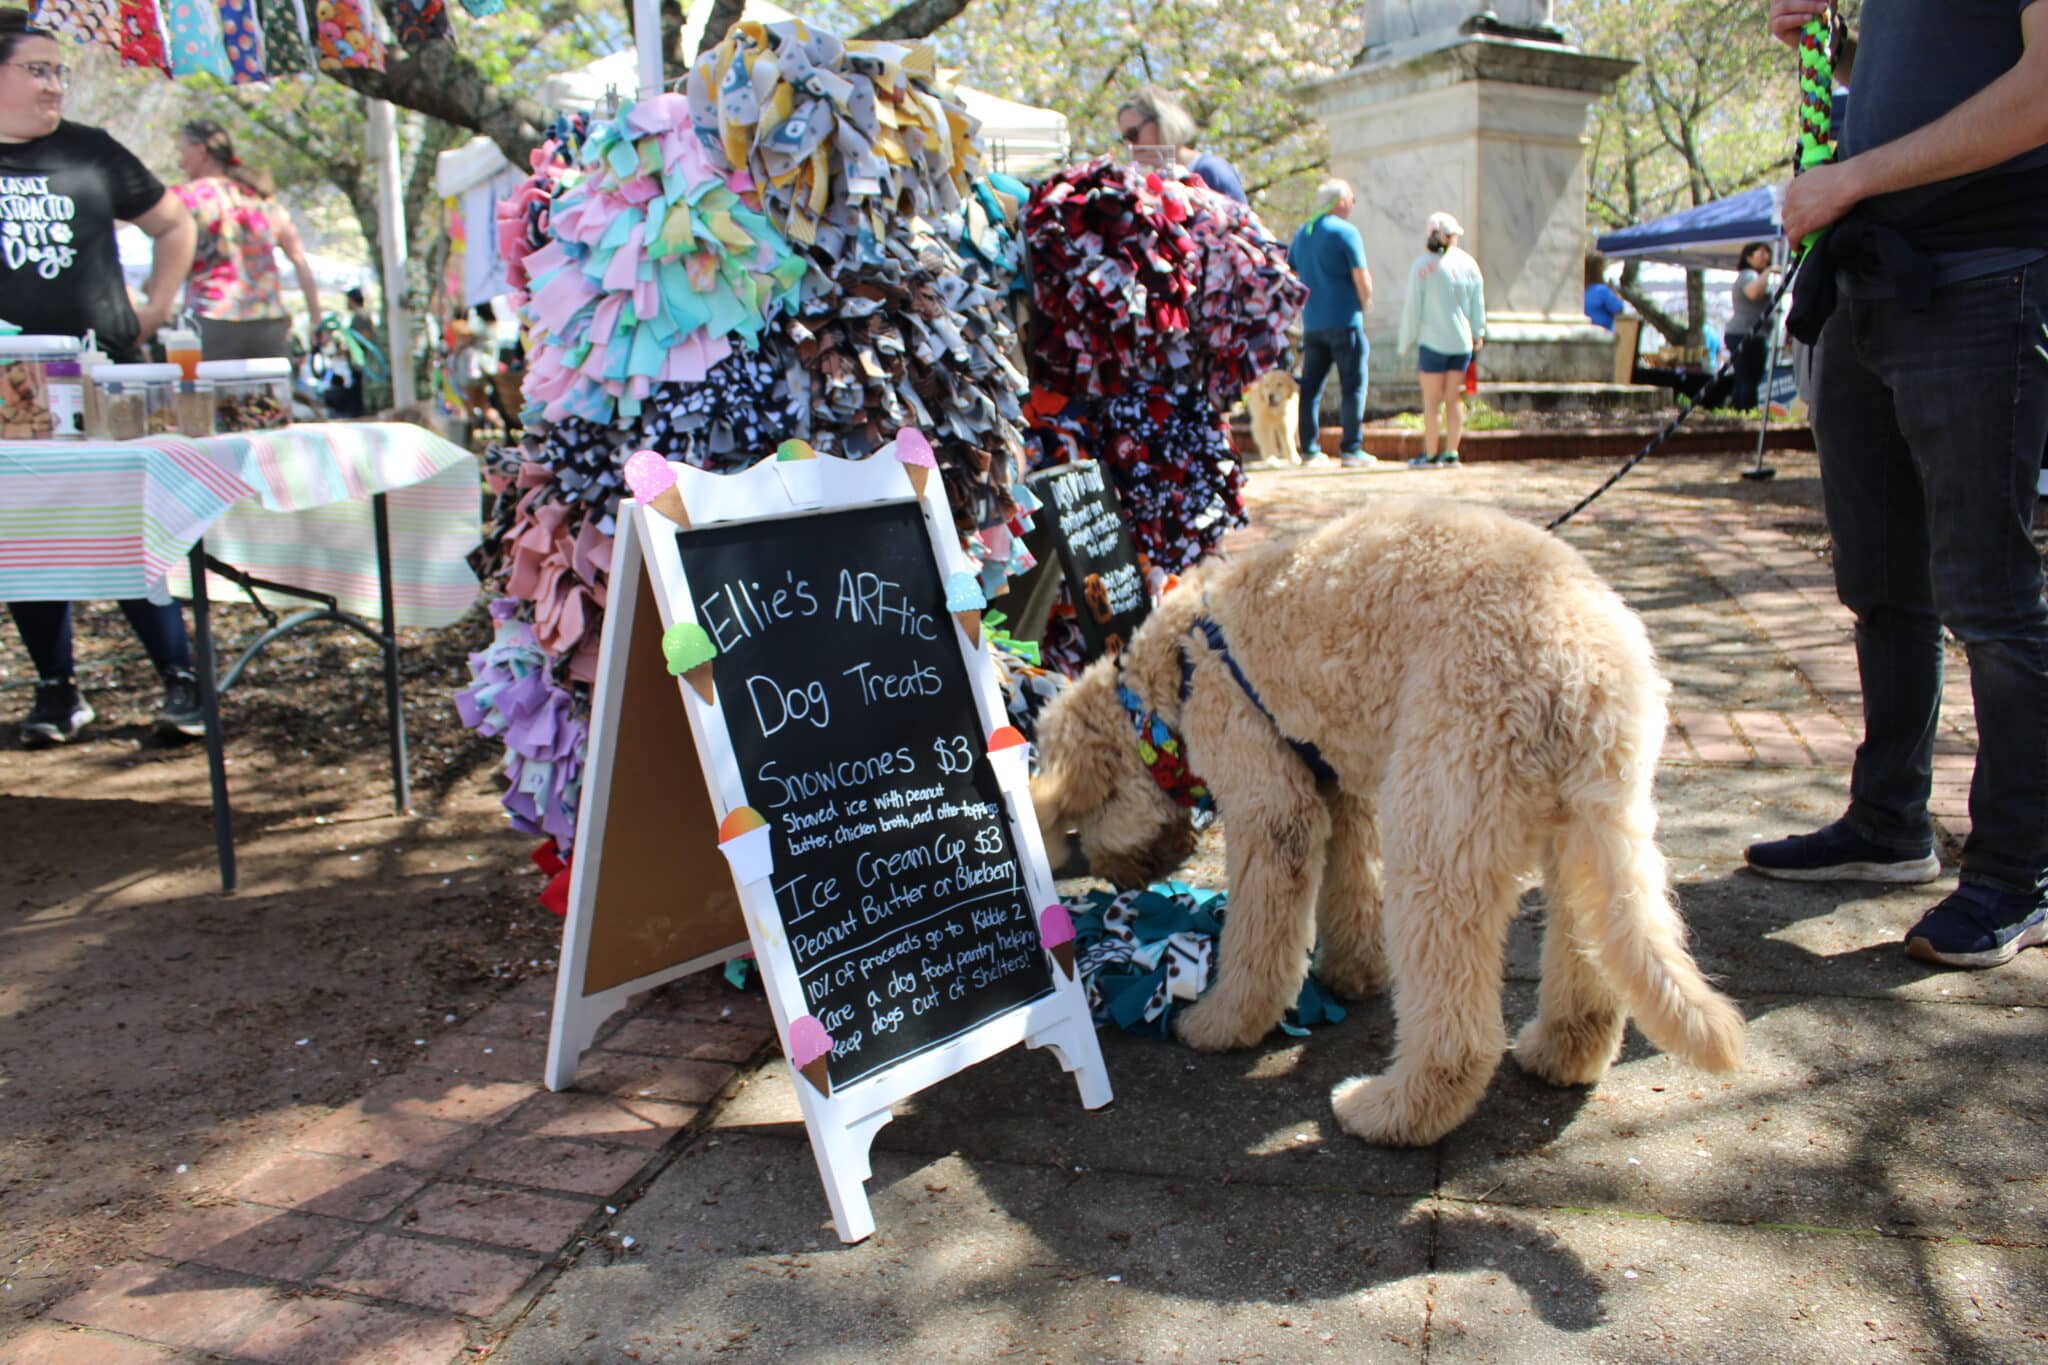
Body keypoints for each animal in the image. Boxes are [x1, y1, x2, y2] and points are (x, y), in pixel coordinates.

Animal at [1040, 497, 1744, 1146]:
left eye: (1077, 826)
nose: (1119, 884)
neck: (1176, 673)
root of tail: (1582, 667)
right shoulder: (1338, 785)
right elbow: (1351, 886)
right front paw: (1352, 974)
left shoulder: (1271, 810)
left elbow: (1258, 939)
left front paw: (1222, 1025)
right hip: (1588, 826)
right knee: (1592, 948)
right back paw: (1560, 1054)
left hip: (1440, 827)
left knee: (1456, 1029)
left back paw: (1390, 1112)